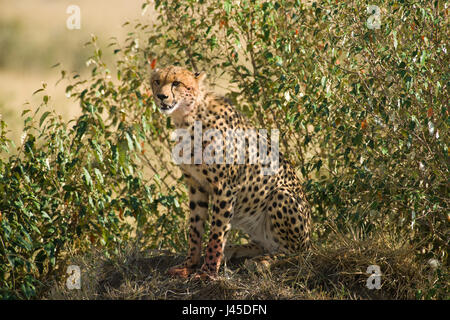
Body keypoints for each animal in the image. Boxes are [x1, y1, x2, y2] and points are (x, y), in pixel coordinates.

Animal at [149, 66, 312, 278]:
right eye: (157, 81)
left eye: (176, 83)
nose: (162, 96)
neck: (188, 118)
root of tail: (310, 240)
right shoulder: (196, 184)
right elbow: (195, 229)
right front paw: (189, 265)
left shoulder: (224, 187)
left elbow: (217, 232)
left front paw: (207, 271)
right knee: (266, 245)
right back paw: (235, 250)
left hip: (281, 195)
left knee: (294, 252)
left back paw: (262, 262)